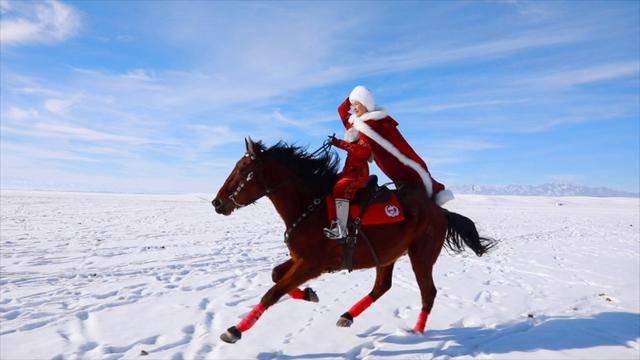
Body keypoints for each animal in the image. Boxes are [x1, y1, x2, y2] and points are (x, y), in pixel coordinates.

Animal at [212, 138, 492, 344]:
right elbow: (275, 276)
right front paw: (310, 294)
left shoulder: (311, 265)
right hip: (387, 255)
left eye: (244, 169)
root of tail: (440, 211)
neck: (310, 206)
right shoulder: (299, 259)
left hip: (421, 256)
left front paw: (235, 330)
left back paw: (417, 332)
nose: (217, 203)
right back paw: (347, 316)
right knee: (382, 287)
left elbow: (273, 292)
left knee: (428, 293)